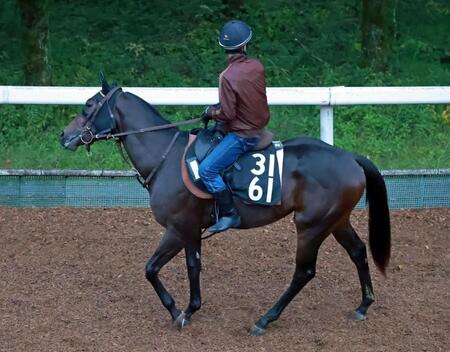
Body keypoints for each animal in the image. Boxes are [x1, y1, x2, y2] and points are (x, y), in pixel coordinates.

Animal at [59, 79, 390, 336]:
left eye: (89, 105)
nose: (64, 135)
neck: (165, 157)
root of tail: (349, 157)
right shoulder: (191, 230)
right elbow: (193, 267)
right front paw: (191, 308)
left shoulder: (178, 228)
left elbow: (151, 269)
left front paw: (177, 312)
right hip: (336, 221)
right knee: (358, 251)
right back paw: (363, 305)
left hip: (311, 226)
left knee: (304, 271)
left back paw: (265, 319)